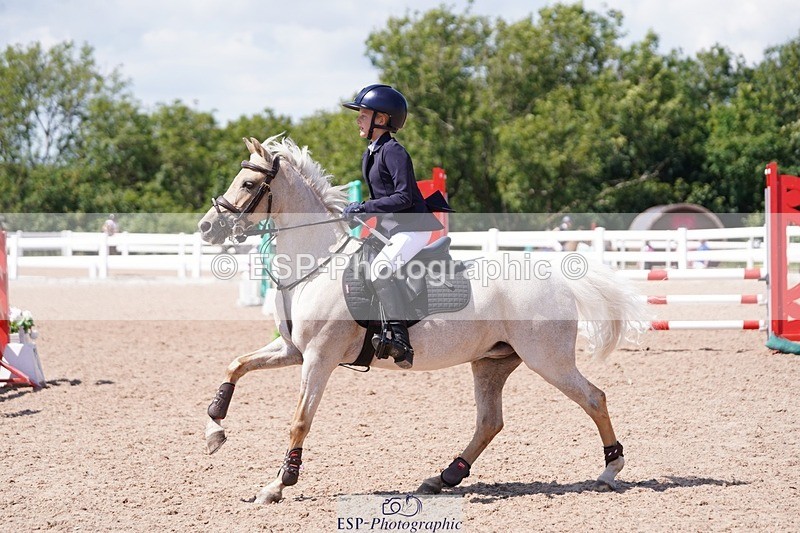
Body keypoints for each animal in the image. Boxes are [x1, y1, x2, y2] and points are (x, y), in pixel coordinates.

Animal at [198, 135, 648, 504]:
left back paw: (610, 470)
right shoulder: (292, 350)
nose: (206, 227)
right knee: (490, 422)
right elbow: (236, 365)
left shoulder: (318, 359)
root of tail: (555, 277)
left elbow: (299, 421)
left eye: (249, 184)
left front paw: (278, 484)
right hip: (492, 361)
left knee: (594, 398)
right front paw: (215, 430)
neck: (316, 264)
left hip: (547, 359)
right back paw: (443, 477)